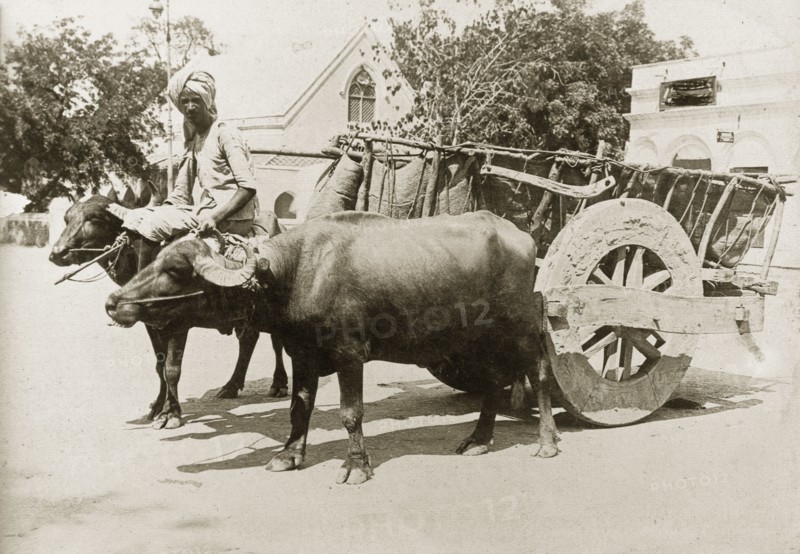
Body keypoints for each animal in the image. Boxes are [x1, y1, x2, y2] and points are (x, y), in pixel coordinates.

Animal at [106, 210, 558, 483]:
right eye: (156, 259)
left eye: (176, 270)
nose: (113, 302)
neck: (295, 273)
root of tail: (522, 236)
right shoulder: (302, 354)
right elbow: (298, 406)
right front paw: (288, 455)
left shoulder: (349, 355)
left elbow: (350, 413)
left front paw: (356, 465)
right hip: (477, 342)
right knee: (493, 383)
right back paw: (479, 439)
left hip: (519, 327)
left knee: (538, 371)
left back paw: (547, 442)